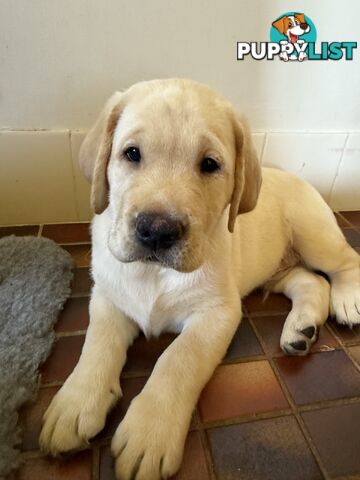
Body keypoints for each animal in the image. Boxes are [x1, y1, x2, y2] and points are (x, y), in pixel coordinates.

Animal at [39, 79, 360, 480]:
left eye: (210, 164)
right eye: (131, 153)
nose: (157, 231)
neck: (154, 271)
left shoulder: (218, 312)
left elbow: (178, 358)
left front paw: (149, 432)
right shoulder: (108, 296)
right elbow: (96, 344)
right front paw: (75, 402)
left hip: (313, 233)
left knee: (344, 262)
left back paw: (348, 299)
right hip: (275, 269)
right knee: (310, 282)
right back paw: (300, 330)